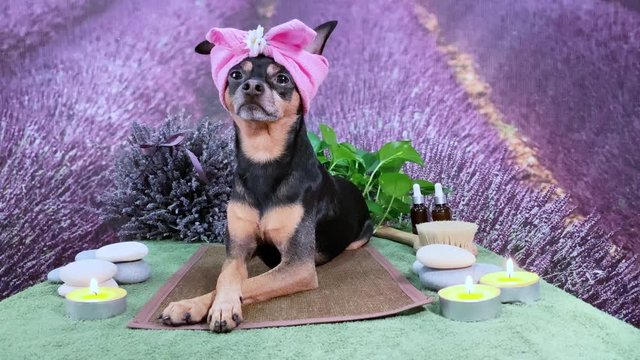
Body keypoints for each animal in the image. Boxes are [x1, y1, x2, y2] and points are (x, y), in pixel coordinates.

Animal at [158, 19, 372, 334]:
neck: (263, 159)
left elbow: (249, 283)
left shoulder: (298, 265)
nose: (252, 86)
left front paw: (223, 308)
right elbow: (226, 279)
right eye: (235, 75)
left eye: (282, 78)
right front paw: (191, 305)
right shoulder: (237, 251)